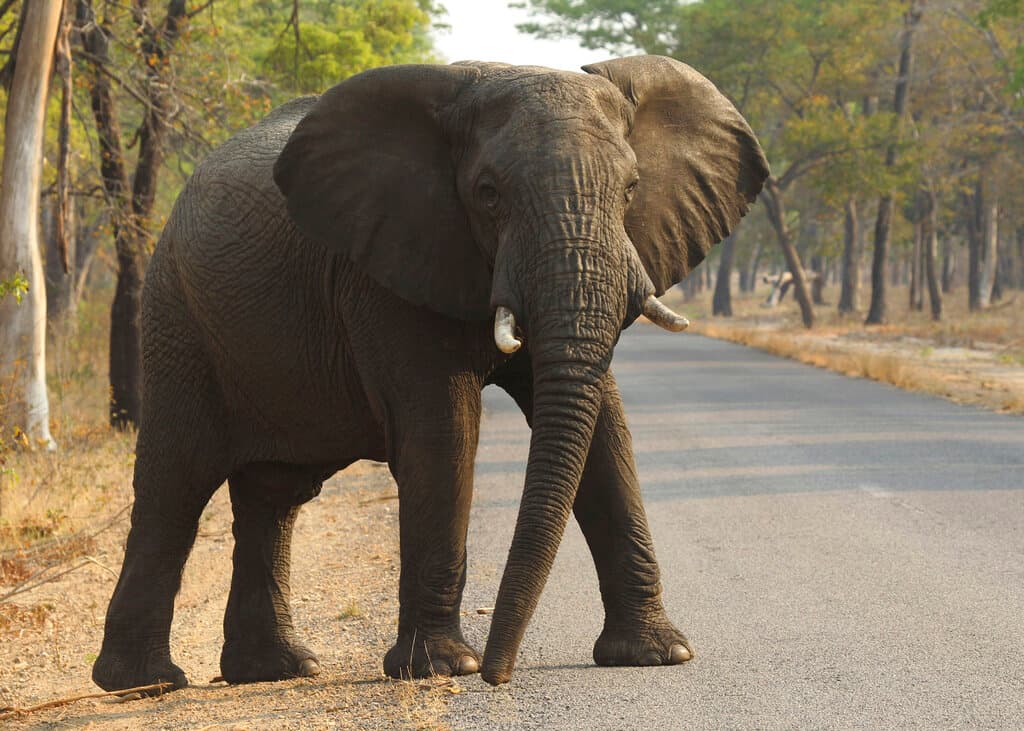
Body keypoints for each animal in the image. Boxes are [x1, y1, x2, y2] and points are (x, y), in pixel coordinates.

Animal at [91, 55, 768, 692]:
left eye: (631, 189)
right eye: (488, 193)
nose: (500, 674)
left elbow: (605, 428)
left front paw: (657, 655)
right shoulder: (385, 269)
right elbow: (444, 432)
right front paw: (444, 668)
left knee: (274, 495)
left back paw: (276, 670)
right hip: (177, 316)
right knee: (176, 481)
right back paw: (146, 683)